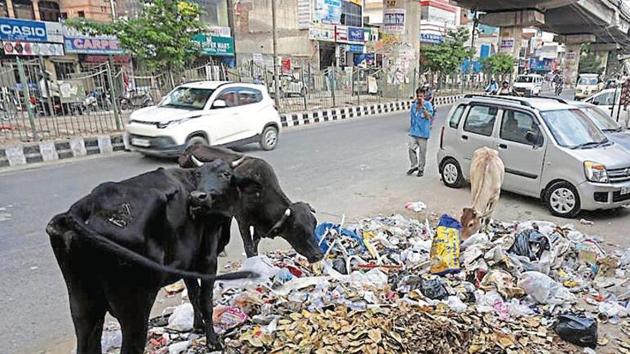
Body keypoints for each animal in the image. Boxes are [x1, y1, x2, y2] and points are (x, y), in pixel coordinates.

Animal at [46, 160, 260, 354]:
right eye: (199, 174)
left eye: (226, 174)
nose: (197, 197)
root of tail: (84, 206)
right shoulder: (208, 258)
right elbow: (205, 300)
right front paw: (213, 341)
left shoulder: (187, 263)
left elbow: (193, 295)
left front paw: (197, 326)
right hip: (134, 308)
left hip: (82, 304)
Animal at [179, 145, 324, 262]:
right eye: (296, 228)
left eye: (314, 224)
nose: (319, 255)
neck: (260, 192)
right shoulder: (243, 222)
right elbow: (248, 248)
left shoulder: (257, 226)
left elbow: (255, 245)